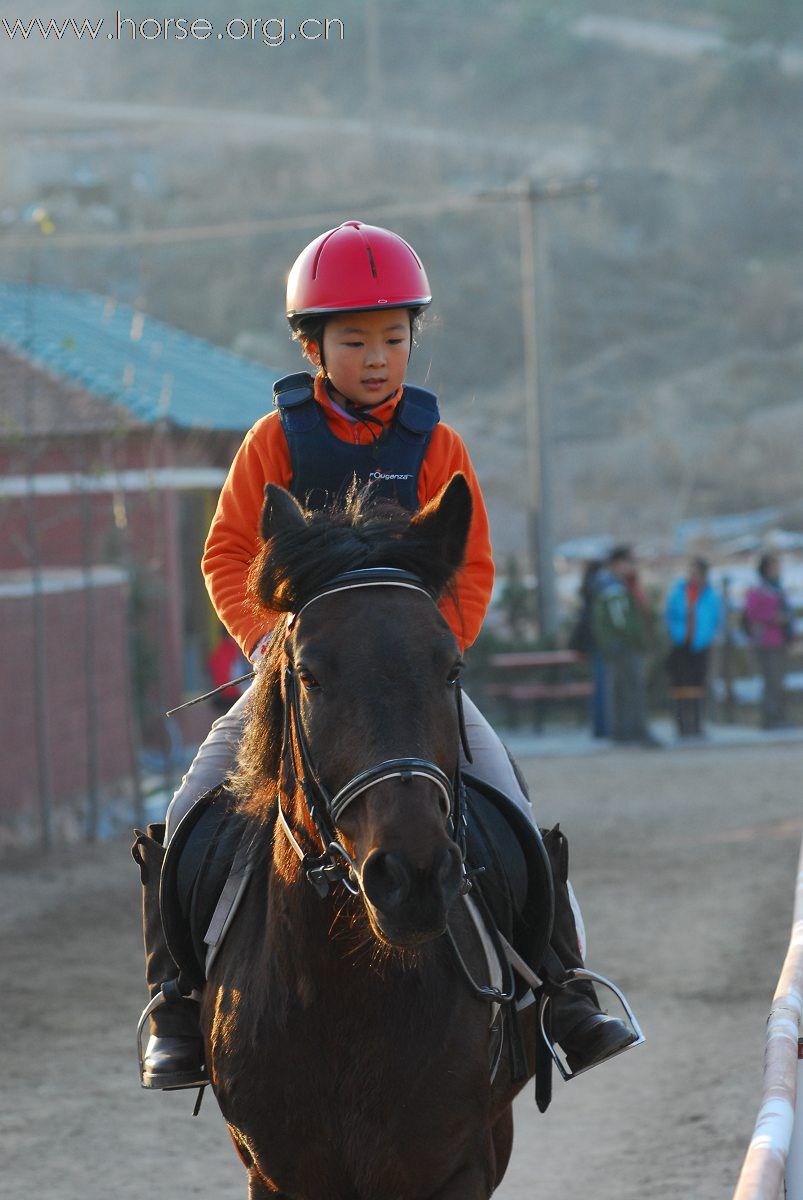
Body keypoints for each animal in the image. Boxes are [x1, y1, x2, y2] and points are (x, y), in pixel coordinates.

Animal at [200, 477, 537, 1200]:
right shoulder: (273, 1175)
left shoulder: (458, 1167)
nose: (412, 876)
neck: (340, 987)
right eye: (307, 675)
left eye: (451, 668)